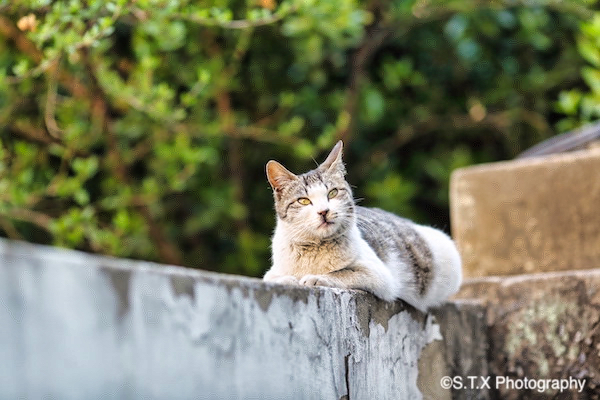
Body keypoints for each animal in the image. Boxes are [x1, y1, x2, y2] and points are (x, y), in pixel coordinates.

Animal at [262, 141, 464, 312]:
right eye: (303, 201)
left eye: (332, 193)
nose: (324, 211)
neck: (315, 248)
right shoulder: (271, 273)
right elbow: (275, 278)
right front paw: (288, 280)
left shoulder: (380, 275)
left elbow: (342, 272)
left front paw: (316, 277)